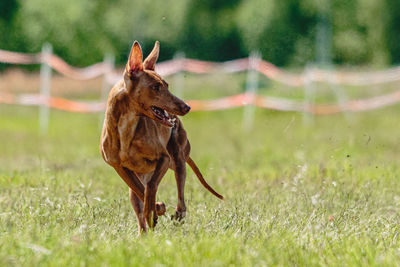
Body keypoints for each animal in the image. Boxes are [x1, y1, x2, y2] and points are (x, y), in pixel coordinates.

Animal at [100, 40, 223, 233]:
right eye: (156, 87)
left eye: (167, 85)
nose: (187, 107)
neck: (127, 127)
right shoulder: (118, 167)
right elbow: (140, 190)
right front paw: (155, 209)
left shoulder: (164, 158)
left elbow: (150, 188)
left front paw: (155, 209)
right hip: (141, 178)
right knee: (138, 205)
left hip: (178, 158)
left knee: (180, 195)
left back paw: (177, 213)